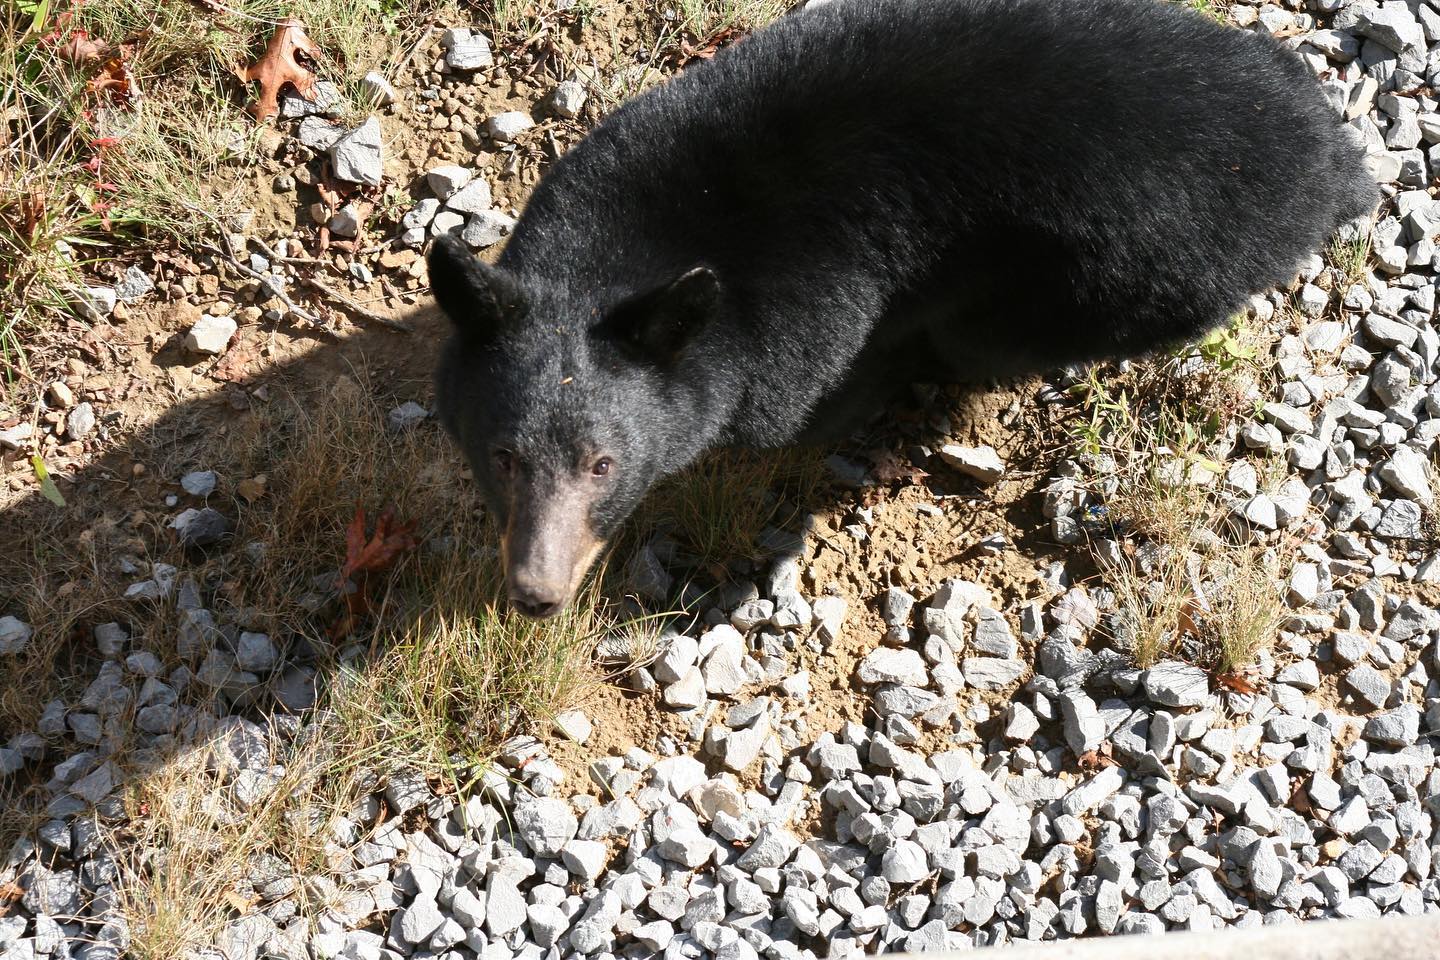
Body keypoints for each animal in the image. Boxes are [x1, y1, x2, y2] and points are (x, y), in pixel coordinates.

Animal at [426, 0, 1370, 618]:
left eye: (604, 466)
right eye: (503, 456)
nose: (535, 595)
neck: (646, 242)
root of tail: (1331, 160)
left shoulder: (807, 332)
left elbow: (819, 405)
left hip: (1113, 280)